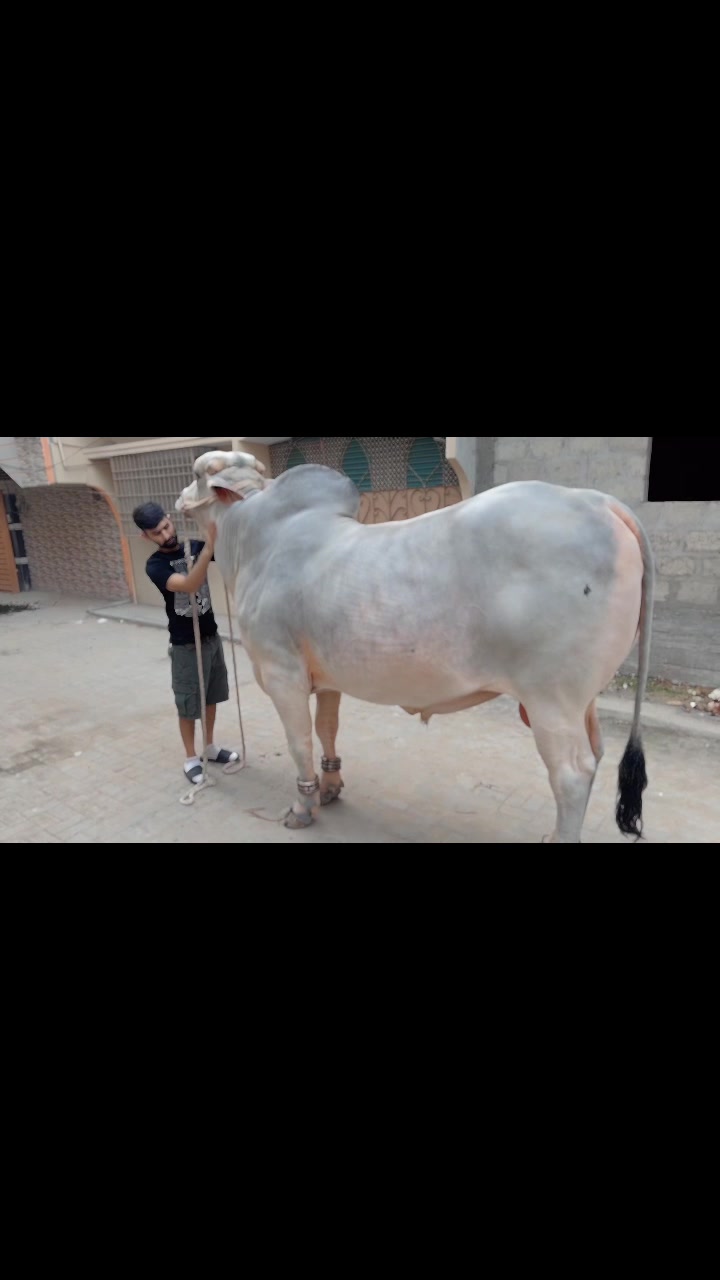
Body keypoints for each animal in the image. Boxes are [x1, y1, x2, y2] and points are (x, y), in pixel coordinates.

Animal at [176, 450, 654, 844]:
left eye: (198, 475)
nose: (178, 500)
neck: (254, 540)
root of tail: (601, 502)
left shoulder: (282, 673)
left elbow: (300, 743)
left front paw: (302, 806)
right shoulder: (327, 678)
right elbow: (327, 730)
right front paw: (330, 788)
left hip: (551, 700)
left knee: (572, 774)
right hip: (580, 702)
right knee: (596, 755)